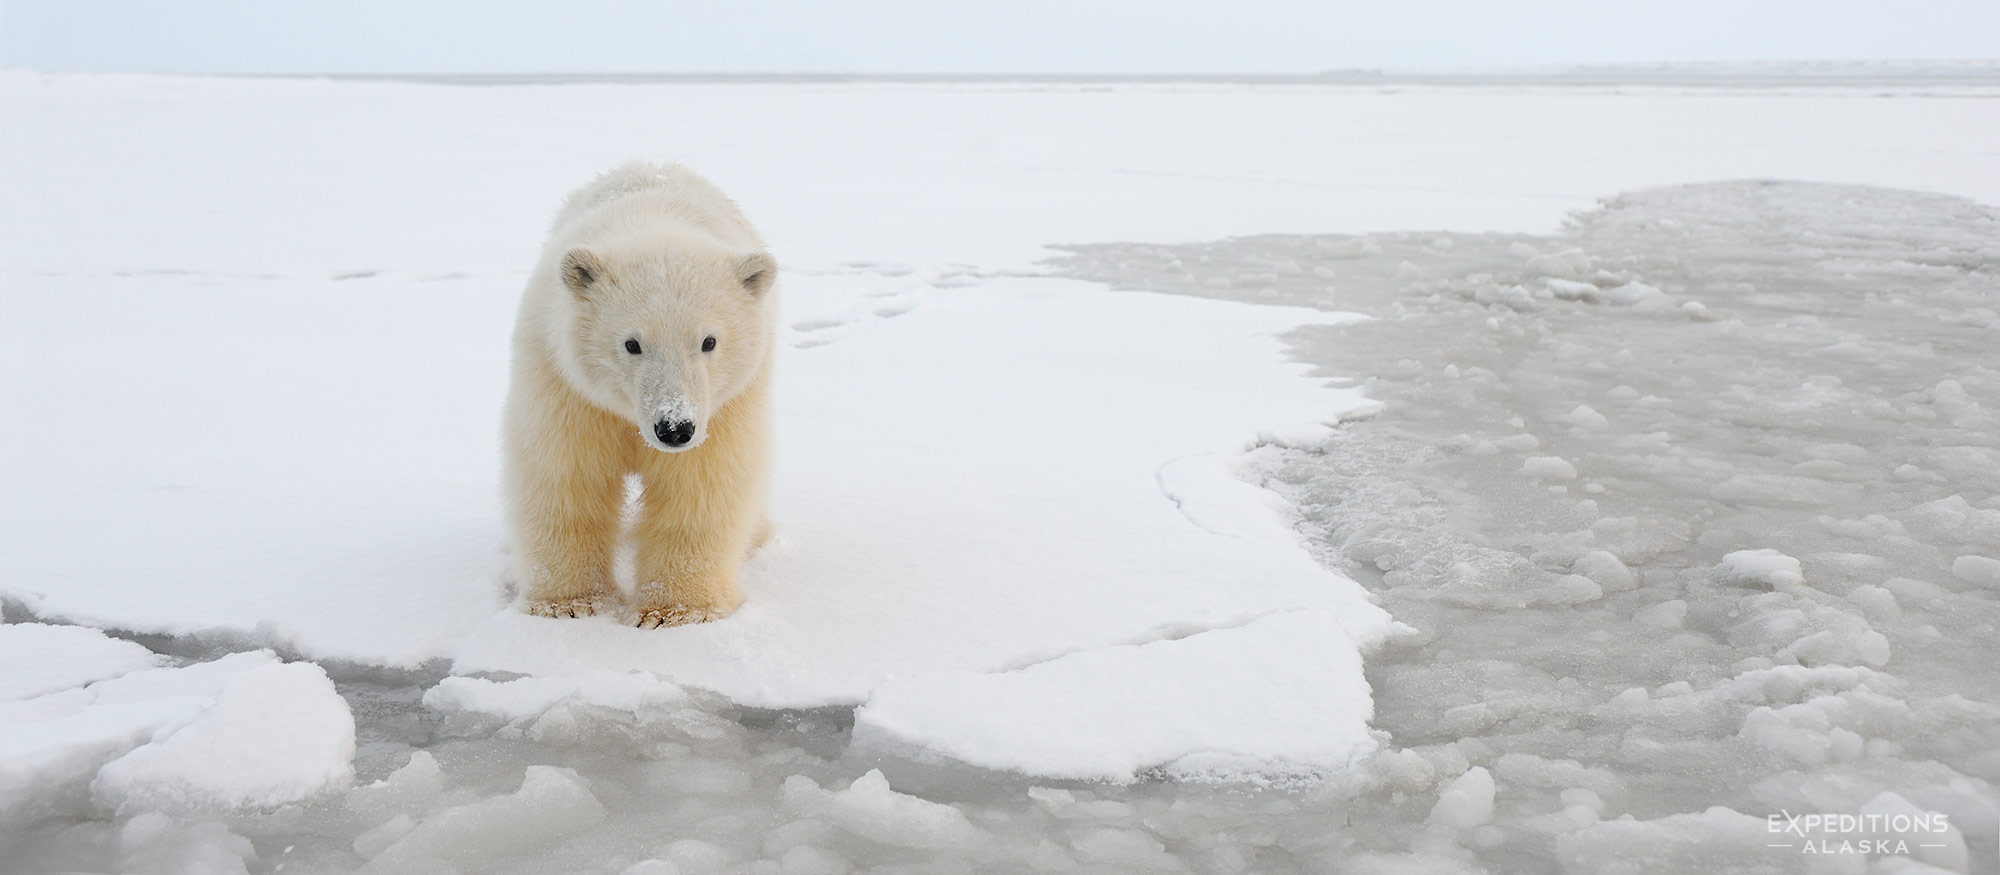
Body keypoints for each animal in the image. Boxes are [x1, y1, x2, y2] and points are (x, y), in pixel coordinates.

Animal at [503, 161, 778, 627]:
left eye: (709, 341)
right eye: (632, 344)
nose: (674, 428)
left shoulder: (723, 408)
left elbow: (699, 487)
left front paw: (675, 611)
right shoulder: (567, 387)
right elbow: (565, 476)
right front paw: (568, 604)